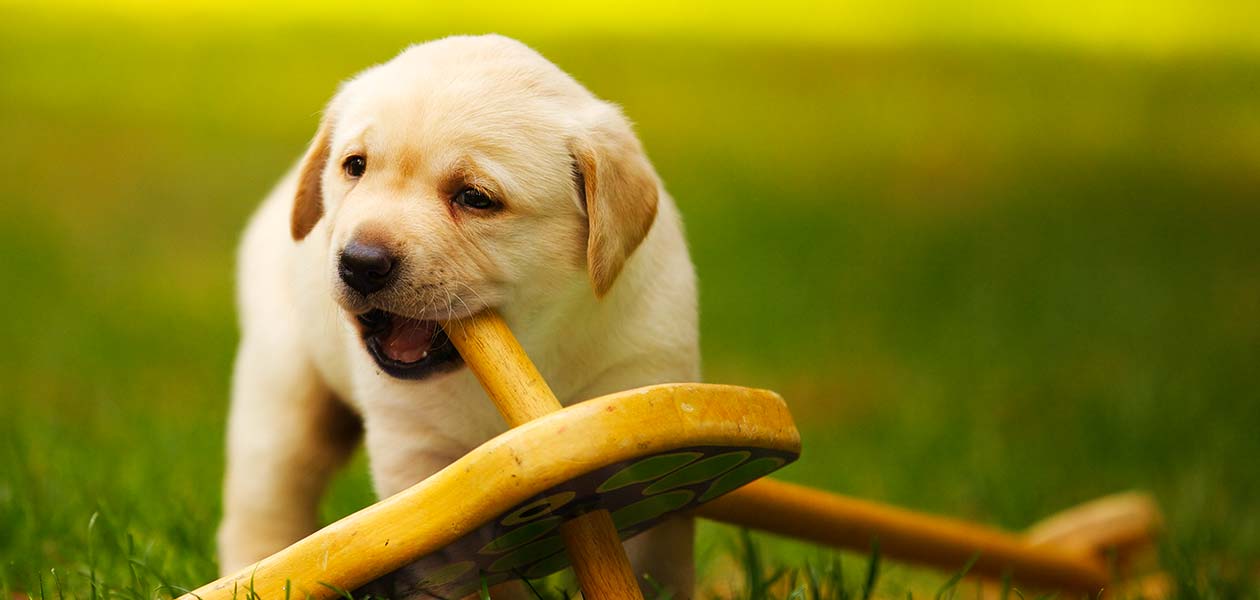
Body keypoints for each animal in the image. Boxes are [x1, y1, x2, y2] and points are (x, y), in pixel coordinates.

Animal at [221, 35, 705, 597]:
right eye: (355, 166)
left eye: (475, 197)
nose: (359, 263)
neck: (528, 345)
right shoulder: (418, 465)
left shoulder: (640, 402)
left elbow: (657, 558)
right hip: (282, 396)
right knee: (265, 504)